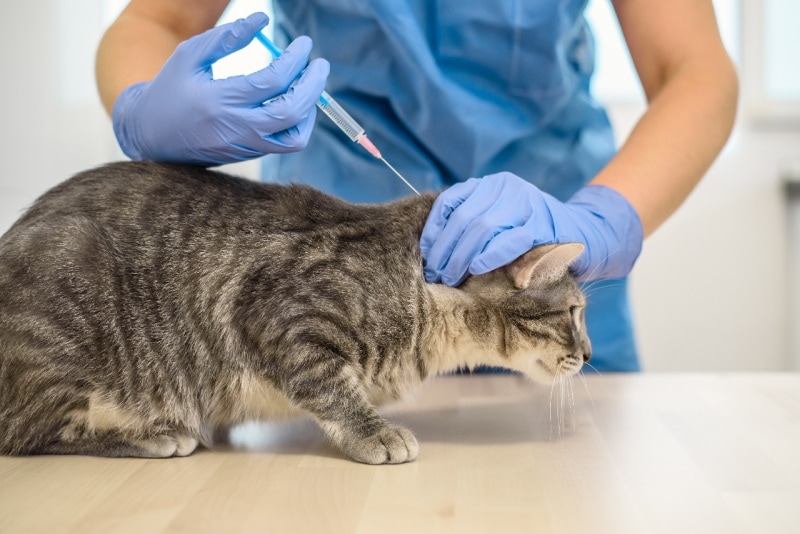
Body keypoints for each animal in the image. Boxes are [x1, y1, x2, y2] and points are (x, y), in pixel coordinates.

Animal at [0, 162, 588, 464]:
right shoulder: (280, 316)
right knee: (30, 434)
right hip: (67, 290)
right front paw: (374, 432)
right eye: (574, 312)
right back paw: (152, 434)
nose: (587, 353)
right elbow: (331, 387)